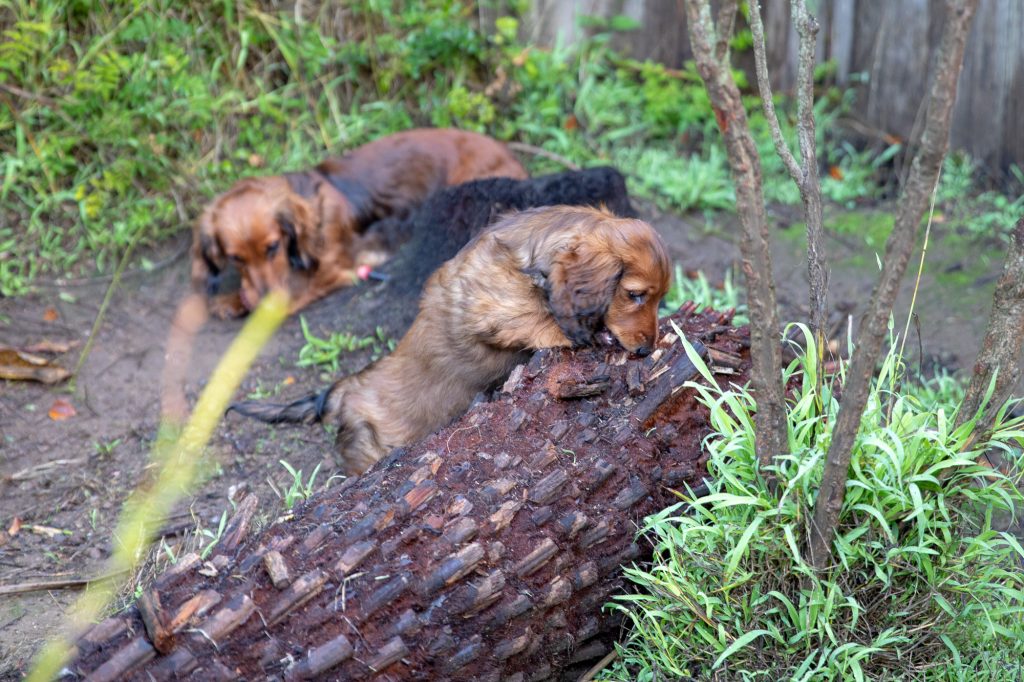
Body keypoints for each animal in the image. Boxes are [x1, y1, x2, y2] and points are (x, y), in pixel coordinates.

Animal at [192, 127, 528, 315]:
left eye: (273, 247)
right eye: (236, 258)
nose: (262, 303)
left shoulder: (333, 269)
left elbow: (295, 291)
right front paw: (234, 299)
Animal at [230, 204, 671, 475]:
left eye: (660, 297)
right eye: (635, 294)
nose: (647, 347)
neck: (531, 251)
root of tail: (343, 389)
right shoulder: (491, 307)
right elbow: (533, 315)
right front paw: (584, 334)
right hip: (368, 442)